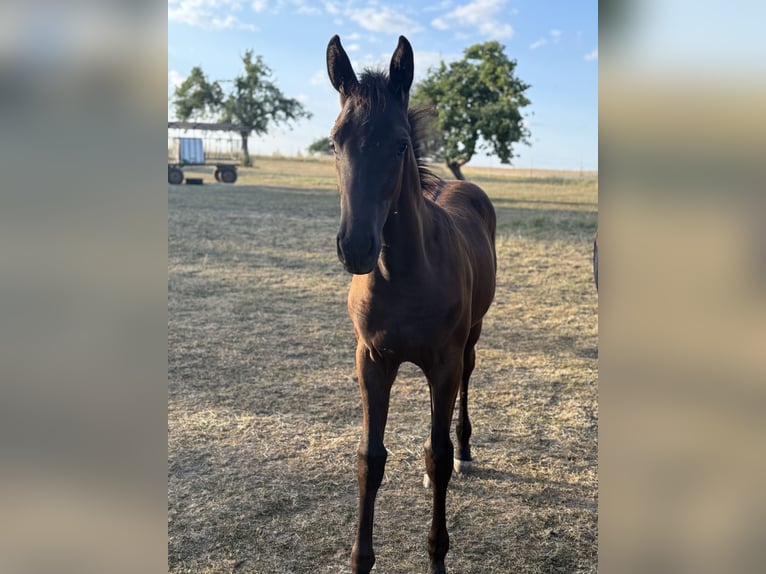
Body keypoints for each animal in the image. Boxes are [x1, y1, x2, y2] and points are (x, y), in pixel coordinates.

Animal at [326, 35, 497, 574]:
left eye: (400, 143)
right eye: (335, 141)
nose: (356, 247)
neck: (402, 274)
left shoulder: (442, 363)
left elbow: (438, 460)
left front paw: (438, 557)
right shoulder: (372, 360)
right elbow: (370, 458)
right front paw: (360, 559)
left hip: (470, 340)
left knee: (466, 383)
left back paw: (466, 449)